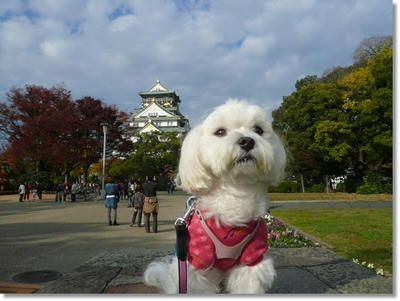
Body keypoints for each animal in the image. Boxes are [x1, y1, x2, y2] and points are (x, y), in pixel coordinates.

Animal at [145, 99, 286, 292]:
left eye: (258, 130)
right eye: (220, 132)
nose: (247, 141)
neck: (235, 193)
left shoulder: (252, 255)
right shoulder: (197, 255)